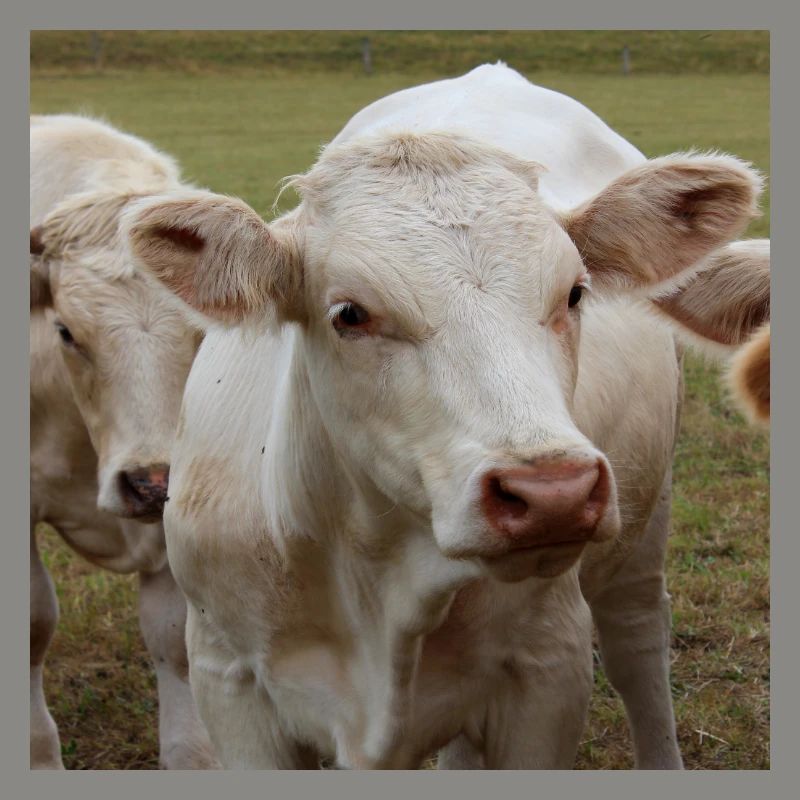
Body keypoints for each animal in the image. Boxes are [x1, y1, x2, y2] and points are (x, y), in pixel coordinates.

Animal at [122, 64, 767, 769]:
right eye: (349, 313)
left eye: (574, 293)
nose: (554, 494)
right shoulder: (226, 675)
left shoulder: (549, 667)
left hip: (643, 526)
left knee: (638, 644)